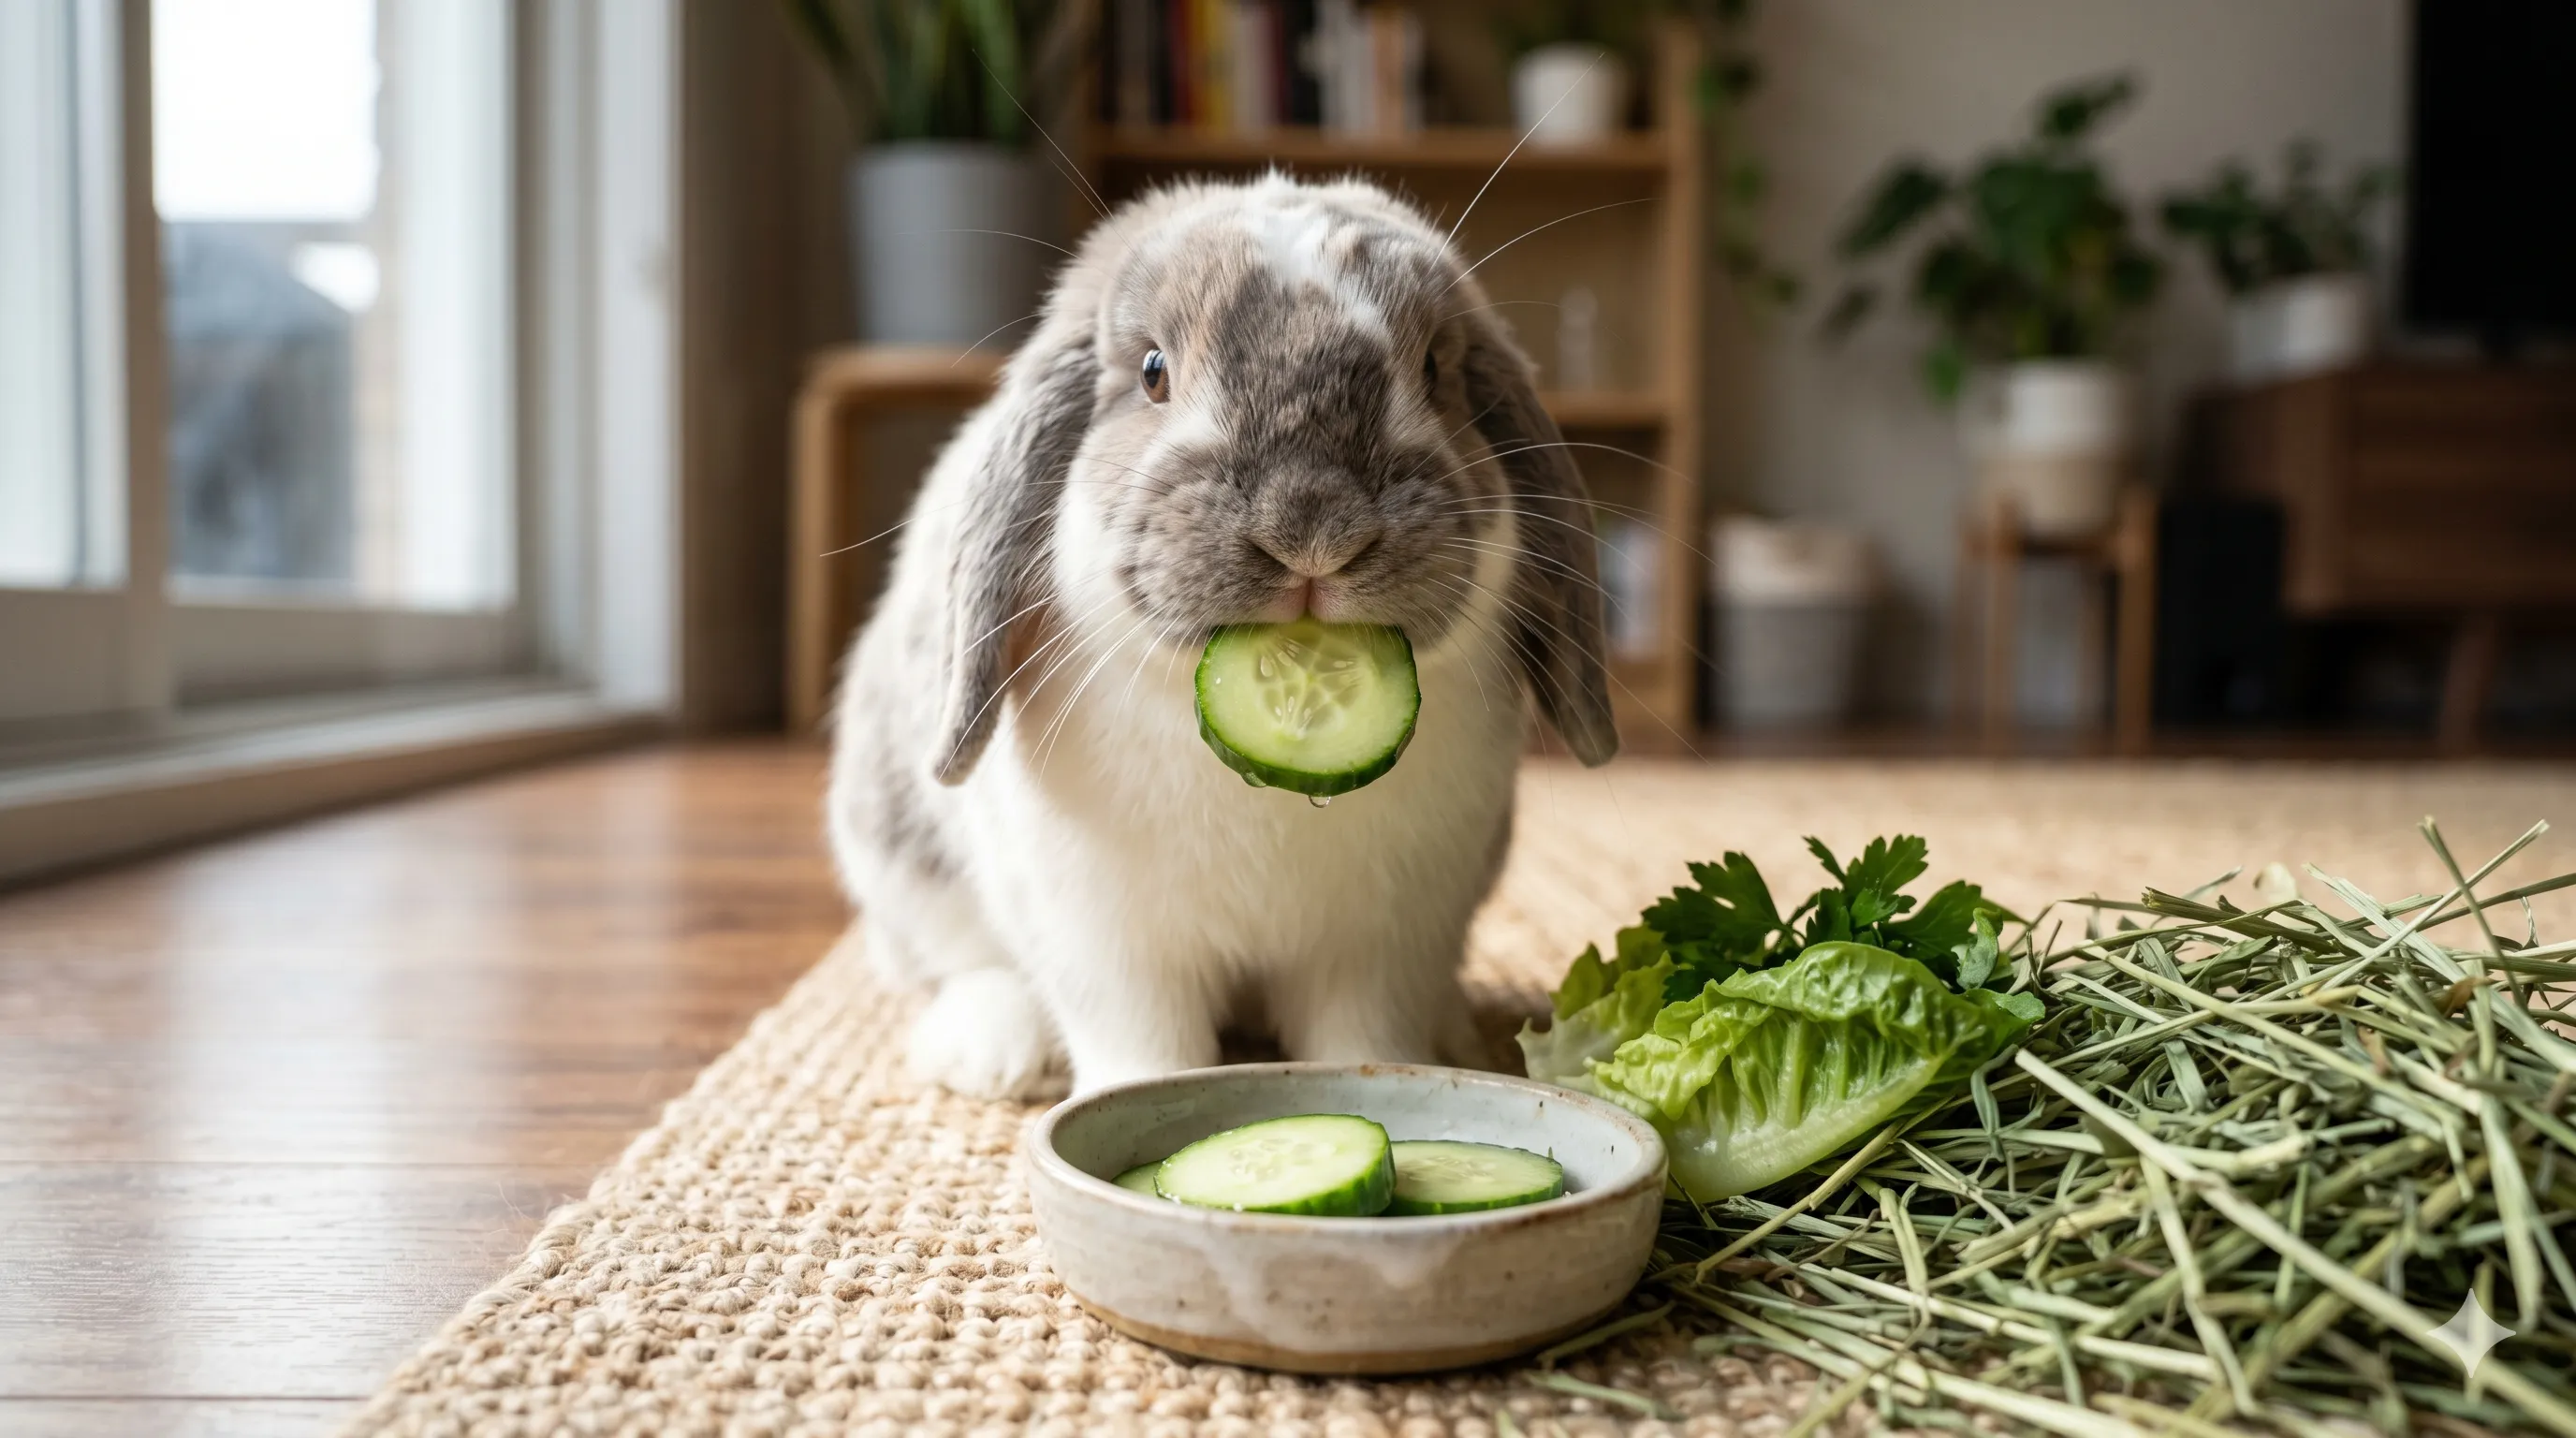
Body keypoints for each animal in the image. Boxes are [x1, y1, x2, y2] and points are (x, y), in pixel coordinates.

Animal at [825, 173, 1616, 1100]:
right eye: (1153, 371)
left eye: (1432, 369)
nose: (1312, 528)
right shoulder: (1111, 943)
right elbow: (1146, 1045)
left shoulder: (1383, 949)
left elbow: (1362, 1037)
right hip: (901, 860)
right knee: (950, 960)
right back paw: (993, 1054)